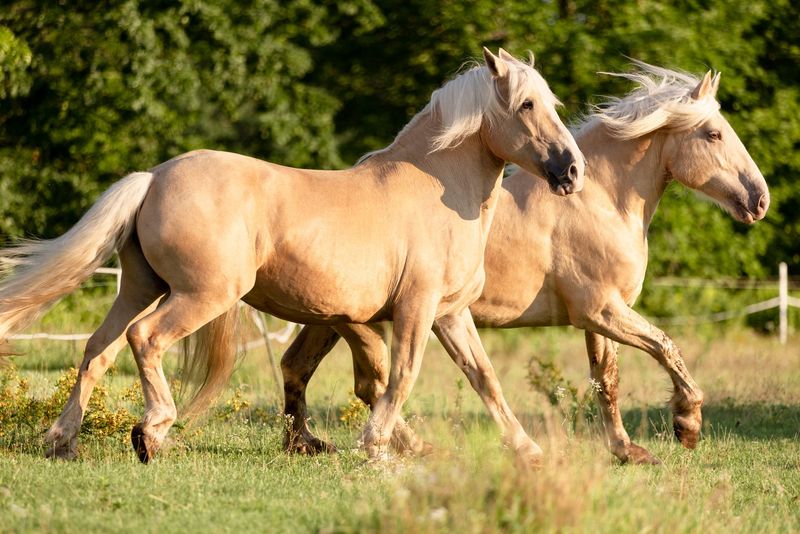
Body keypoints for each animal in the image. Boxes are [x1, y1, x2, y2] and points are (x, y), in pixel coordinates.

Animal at [1, 48, 588, 462]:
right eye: (526, 105)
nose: (572, 170)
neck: (435, 187)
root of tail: (154, 177)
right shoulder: (416, 309)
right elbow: (400, 374)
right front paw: (374, 444)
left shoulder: (448, 313)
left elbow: (482, 377)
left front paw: (527, 449)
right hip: (202, 294)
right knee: (143, 339)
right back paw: (153, 432)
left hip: (142, 287)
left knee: (96, 350)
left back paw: (62, 441)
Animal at [280, 61, 768, 464]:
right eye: (713, 134)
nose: (759, 200)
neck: (600, 200)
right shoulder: (601, 310)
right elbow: (666, 346)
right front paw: (687, 424)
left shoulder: (600, 317)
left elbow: (606, 380)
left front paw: (627, 451)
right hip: (359, 317)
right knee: (368, 381)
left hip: (331, 316)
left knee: (298, 365)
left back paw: (308, 443)